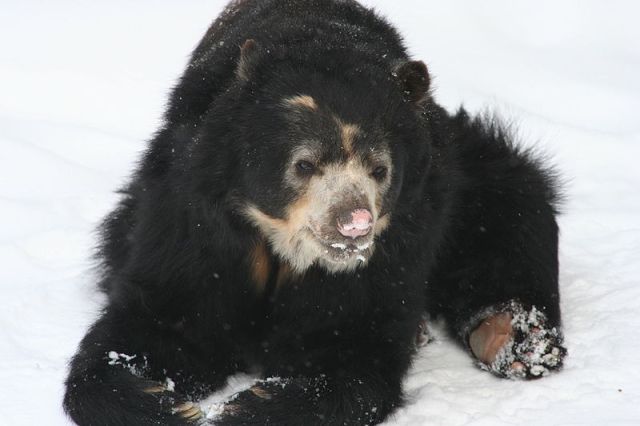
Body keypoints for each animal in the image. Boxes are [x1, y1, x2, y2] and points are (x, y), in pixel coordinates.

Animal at [63, 0, 567, 425]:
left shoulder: (400, 237)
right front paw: (162, 402)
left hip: (472, 171)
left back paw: (512, 337)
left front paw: (244, 408)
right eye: (304, 164)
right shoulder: (194, 212)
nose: (355, 224)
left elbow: (350, 342)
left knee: (515, 206)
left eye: (380, 169)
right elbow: (167, 313)